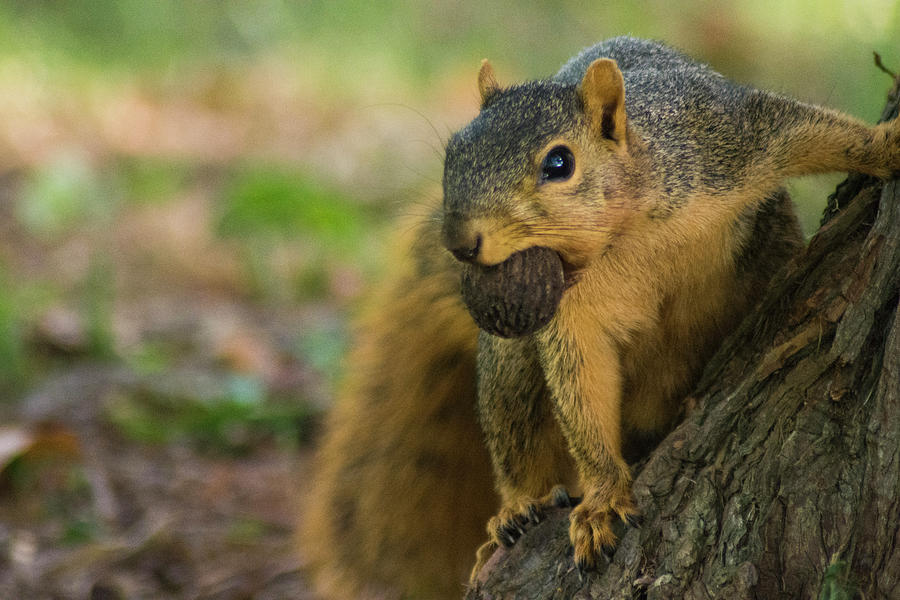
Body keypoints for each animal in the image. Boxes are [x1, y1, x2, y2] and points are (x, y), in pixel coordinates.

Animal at [304, 38, 900, 600]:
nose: (459, 242)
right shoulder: (568, 319)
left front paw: (887, 145)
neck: (623, 233)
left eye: (559, 164)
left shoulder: (717, 140)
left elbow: (805, 130)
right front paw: (602, 498)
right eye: (452, 154)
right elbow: (583, 393)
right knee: (516, 427)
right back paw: (517, 509)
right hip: (509, 363)